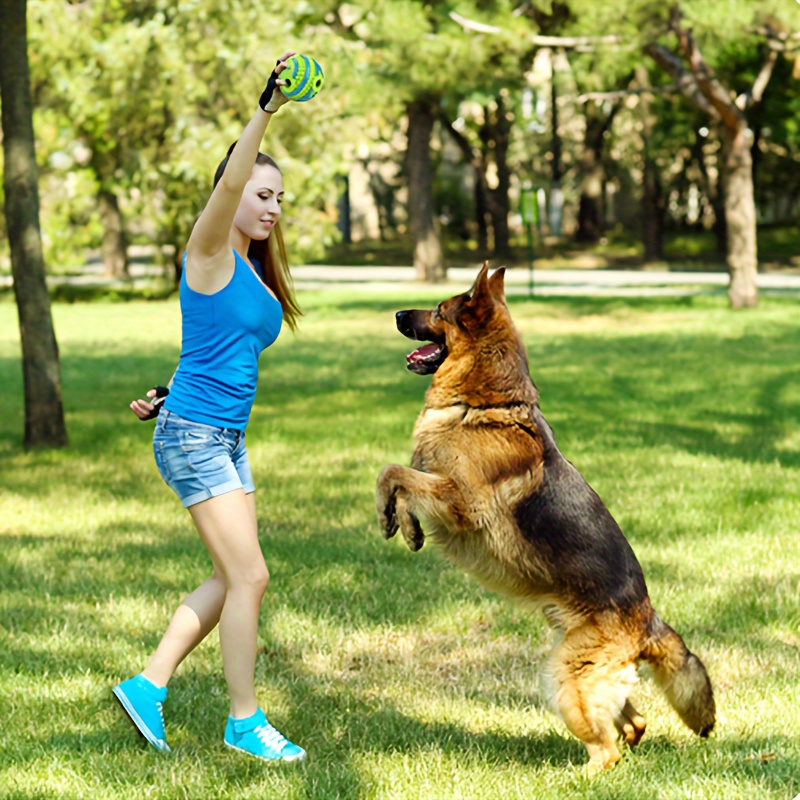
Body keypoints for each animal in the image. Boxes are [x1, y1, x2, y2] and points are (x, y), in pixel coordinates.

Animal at [376, 264, 720, 776]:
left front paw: (390, 515)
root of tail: (646, 617)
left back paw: (578, 775)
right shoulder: (442, 489)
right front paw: (408, 527)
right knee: (635, 723)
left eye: (438, 310)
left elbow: (393, 472)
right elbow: (402, 480)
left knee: (608, 749)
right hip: (589, 672)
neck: (487, 405)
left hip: (565, 677)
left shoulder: (461, 502)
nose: (398, 312)